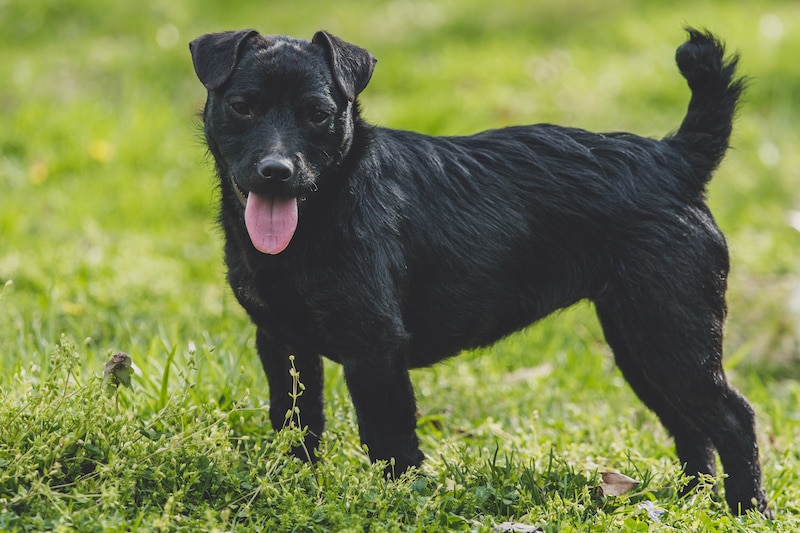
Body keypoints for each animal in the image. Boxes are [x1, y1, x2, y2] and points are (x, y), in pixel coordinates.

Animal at [192, 27, 768, 512]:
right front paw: (293, 486)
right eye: (242, 107)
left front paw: (398, 504)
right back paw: (691, 501)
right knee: (691, 427)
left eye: (317, 113)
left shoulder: (374, 348)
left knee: (734, 417)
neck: (316, 219)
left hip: (672, 339)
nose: (276, 171)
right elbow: (297, 423)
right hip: (642, 345)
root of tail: (676, 158)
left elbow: (390, 440)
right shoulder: (283, 342)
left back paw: (747, 510)